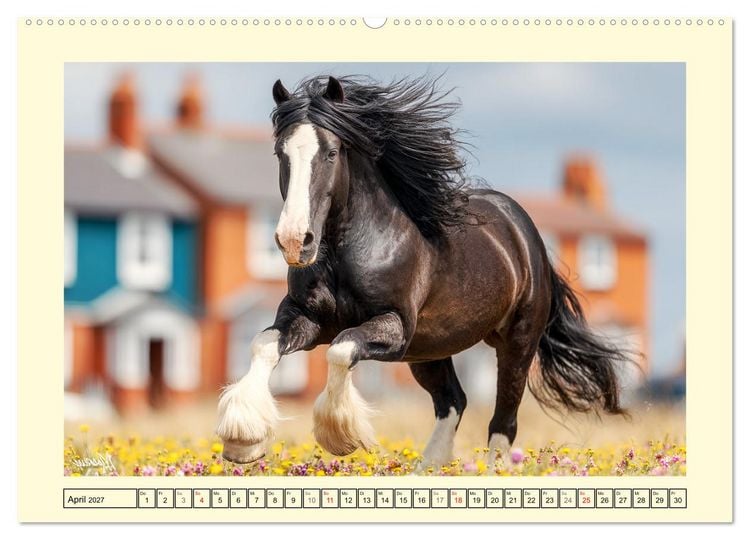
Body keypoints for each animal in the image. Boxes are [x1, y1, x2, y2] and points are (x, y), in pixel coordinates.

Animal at [216, 75, 628, 469]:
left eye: (332, 152)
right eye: (280, 152)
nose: (293, 241)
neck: (351, 251)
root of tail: (528, 238)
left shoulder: (394, 326)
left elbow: (341, 350)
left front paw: (339, 435)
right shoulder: (307, 317)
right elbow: (263, 344)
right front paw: (242, 441)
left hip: (517, 343)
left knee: (502, 422)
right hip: (429, 351)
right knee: (453, 402)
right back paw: (429, 467)